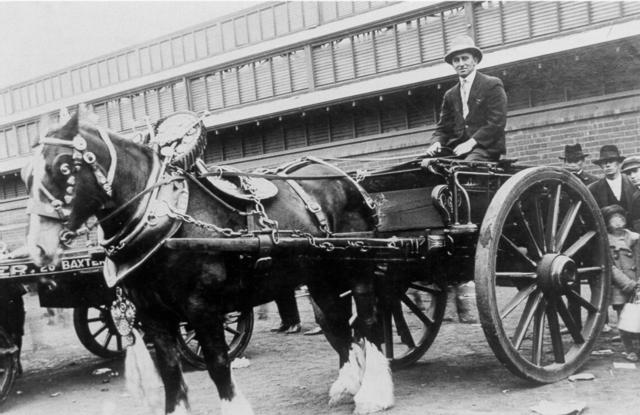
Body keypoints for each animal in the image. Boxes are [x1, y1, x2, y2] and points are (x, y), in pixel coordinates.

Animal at [23, 109, 396, 415]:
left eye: (64, 167)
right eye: (26, 176)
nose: (38, 248)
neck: (161, 215)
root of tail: (341, 176)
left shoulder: (202, 309)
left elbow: (217, 365)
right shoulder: (153, 314)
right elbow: (170, 373)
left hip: (358, 268)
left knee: (368, 322)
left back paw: (374, 394)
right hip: (320, 274)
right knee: (337, 322)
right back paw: (349, 383)